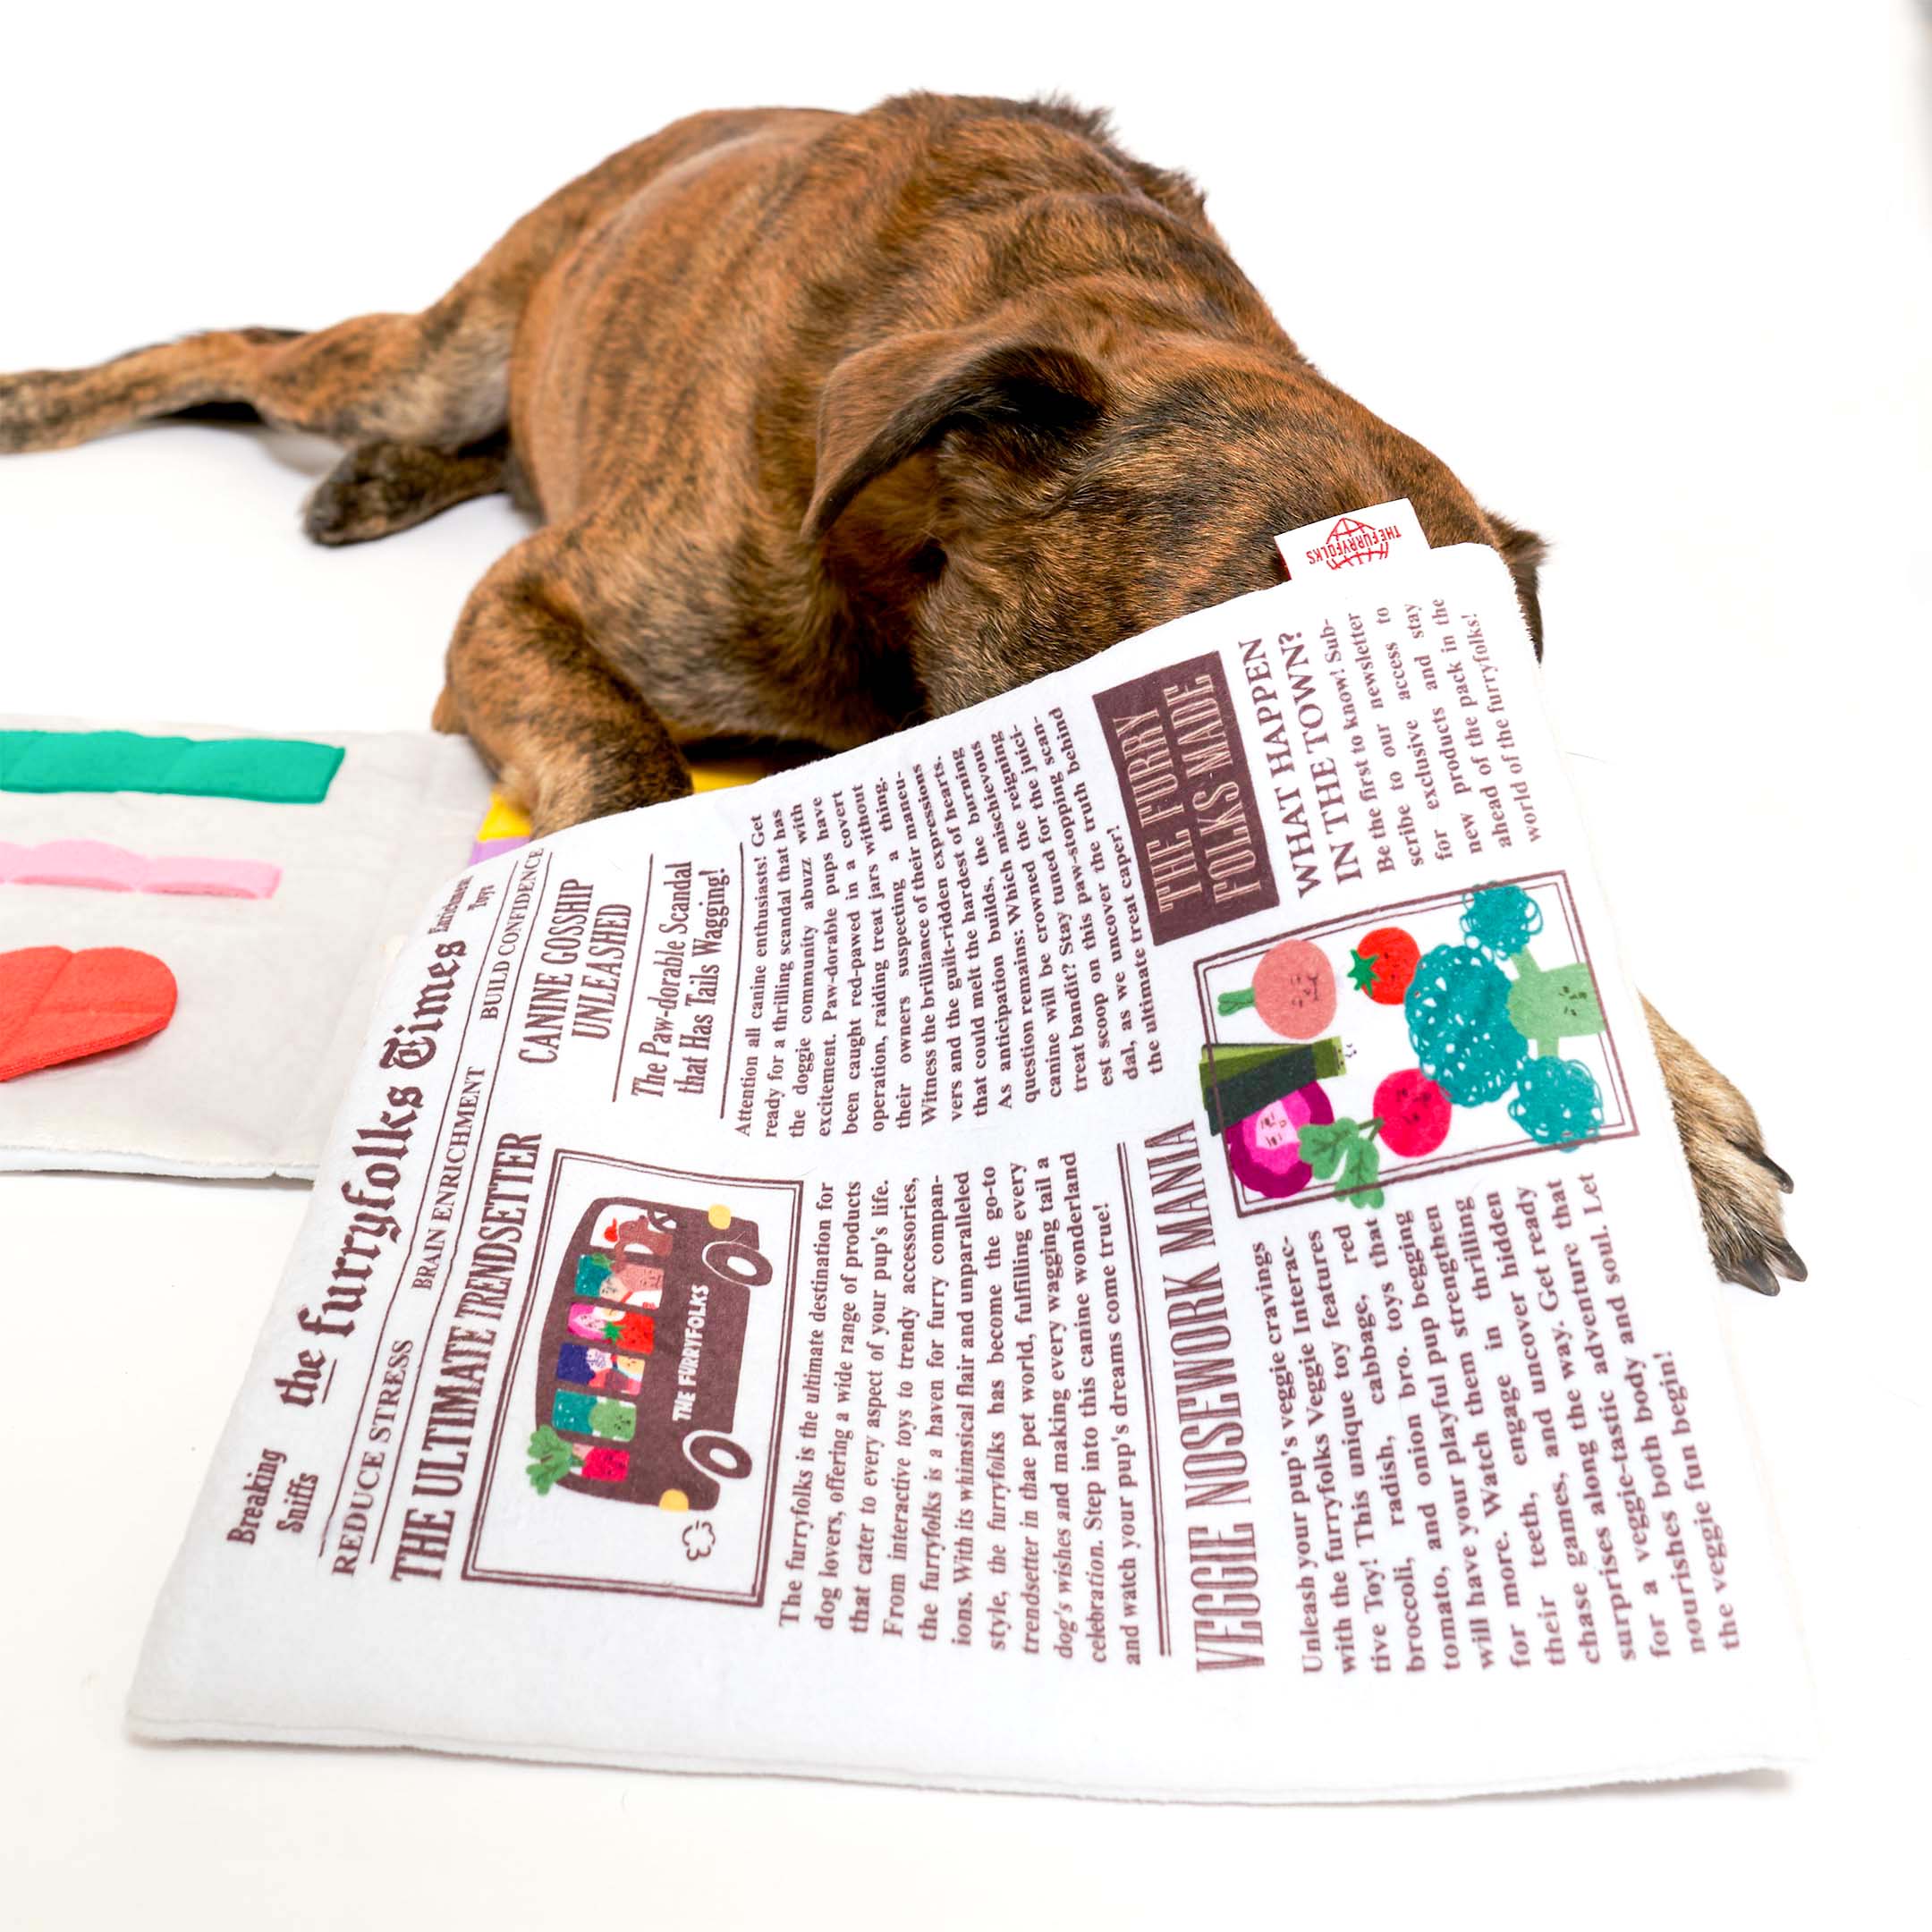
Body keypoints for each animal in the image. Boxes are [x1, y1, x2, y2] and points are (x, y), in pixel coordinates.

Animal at [0, 97, 1792, 1290]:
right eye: (1200, 732)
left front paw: (1671, 1107)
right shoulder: (532, 605)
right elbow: (623, 761)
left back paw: (374, 485)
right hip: (433, 351)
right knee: (251, 351)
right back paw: (69, 401)